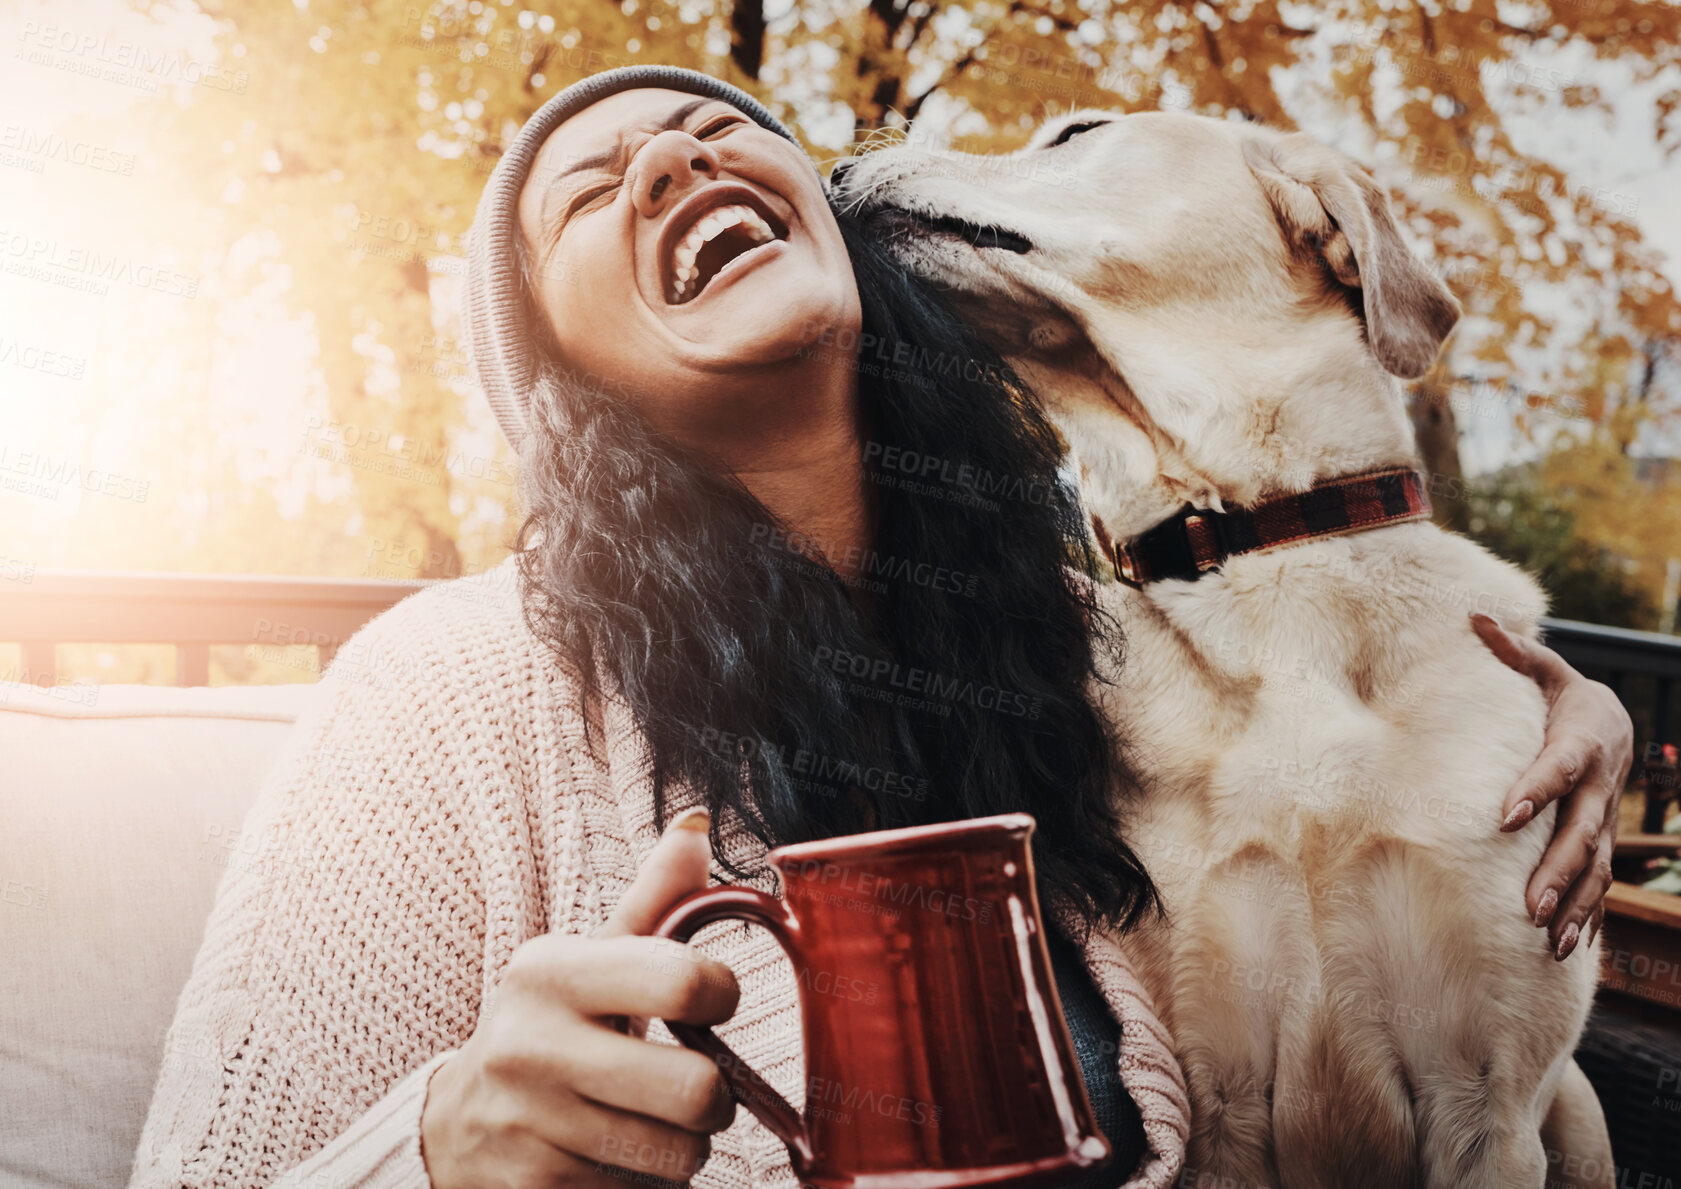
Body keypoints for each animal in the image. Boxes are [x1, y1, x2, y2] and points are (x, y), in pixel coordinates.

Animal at [833, 114, 1607, 1189]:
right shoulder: (1209, 1092)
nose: (836, 167)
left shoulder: (1491, 1101)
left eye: (1076, 132)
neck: (1261, 555)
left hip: (1572, 1109)